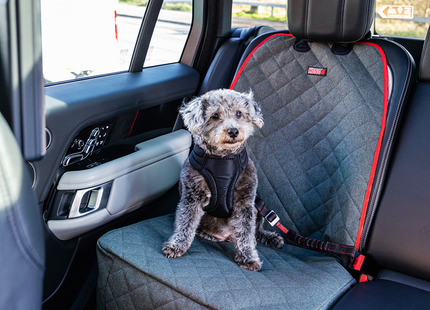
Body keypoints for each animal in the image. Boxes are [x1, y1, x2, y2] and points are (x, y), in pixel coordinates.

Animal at [161, 88, 282, 270]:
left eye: (239, 113)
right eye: (215, 115)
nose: (233, 131)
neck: (223, 159)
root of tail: (226, 236)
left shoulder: (245, 202)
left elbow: (245, 232)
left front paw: (249, 257)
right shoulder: (192, 197)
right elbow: (185, 224)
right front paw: (177, 245)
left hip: (257, 207)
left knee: (256, 231)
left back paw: (271, 238)